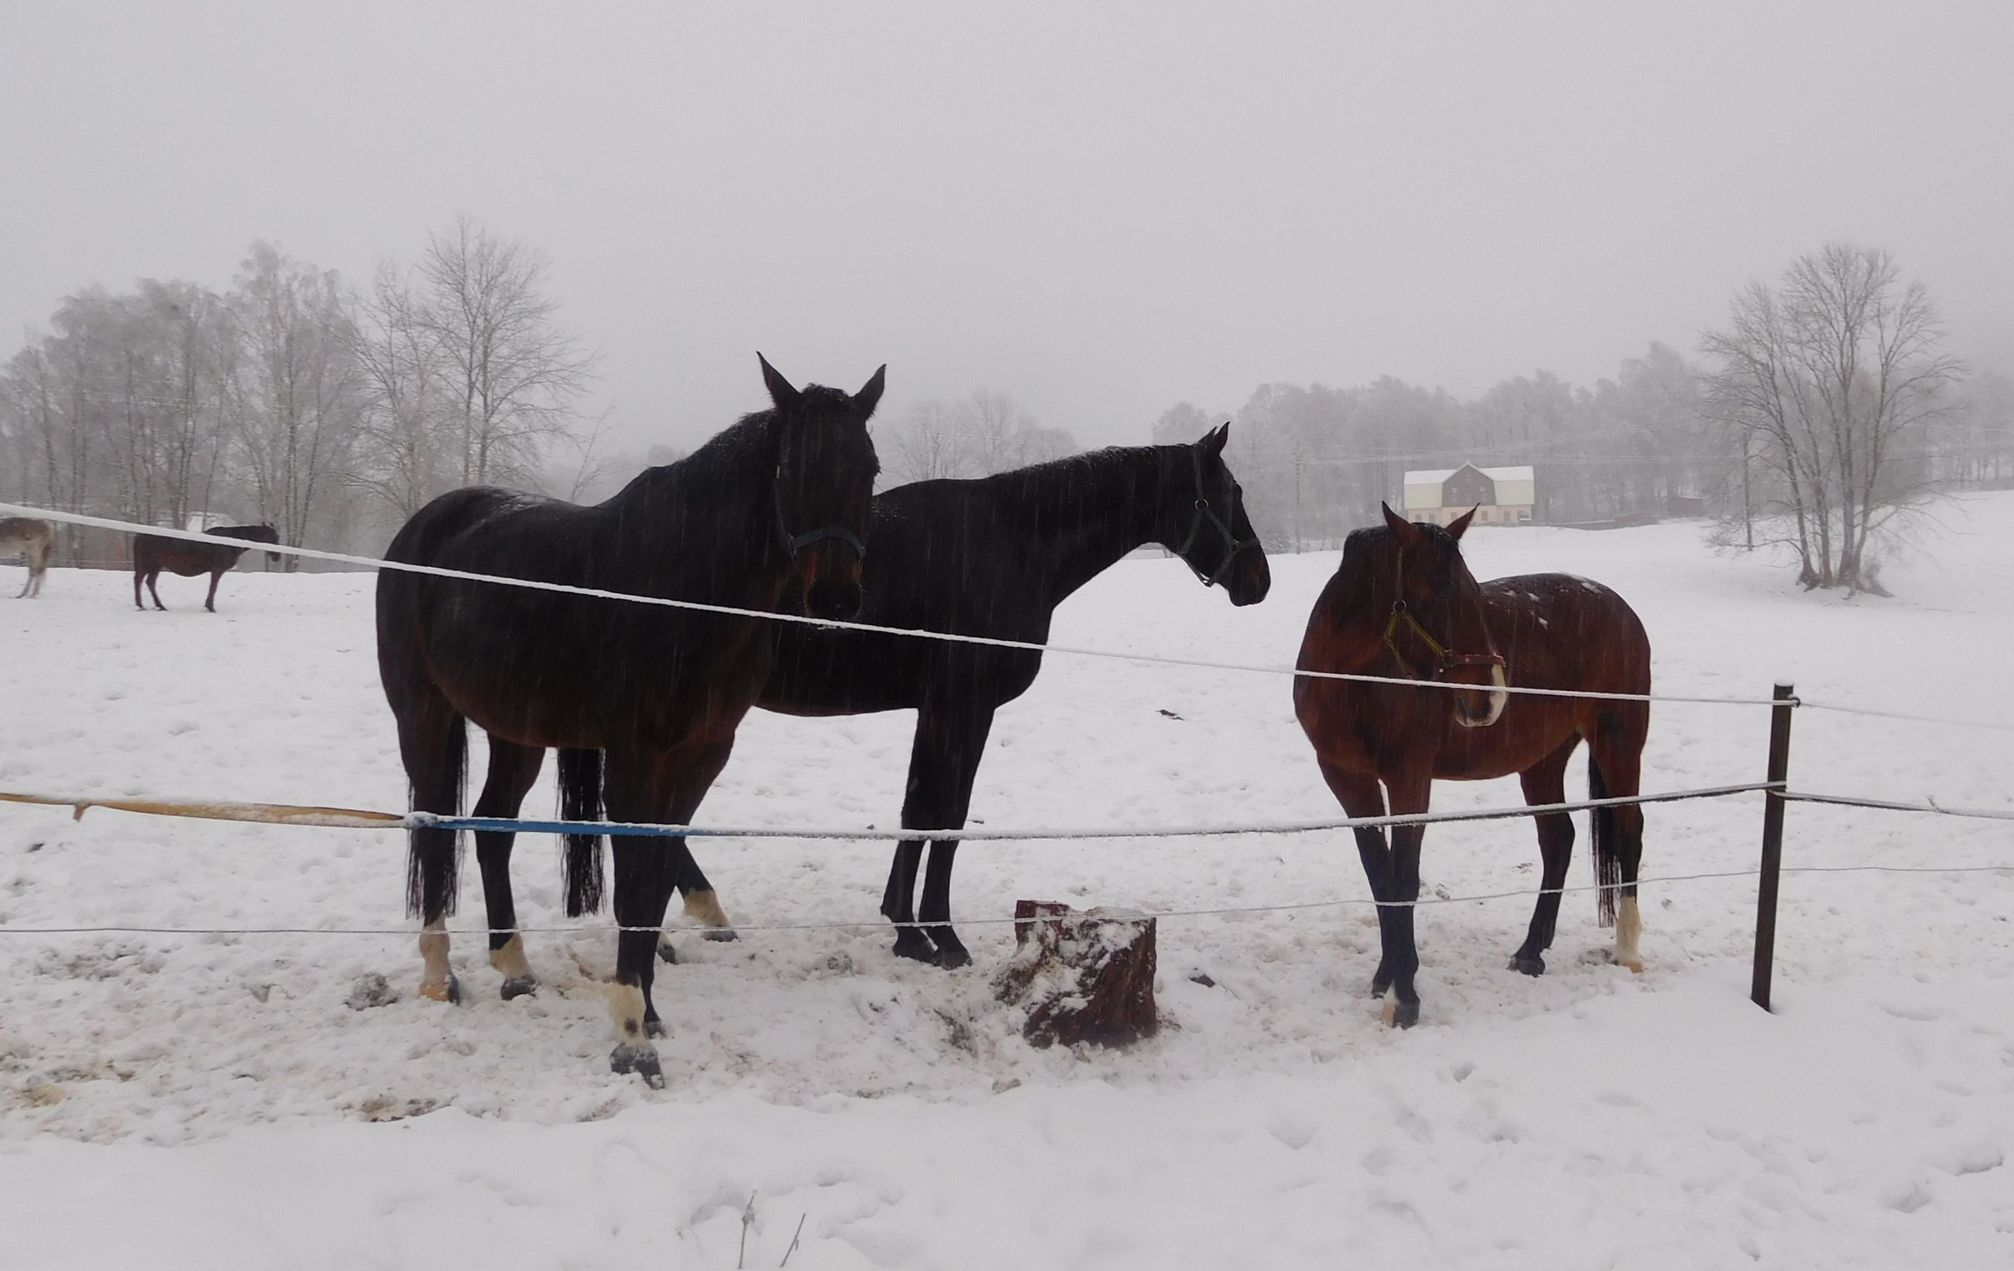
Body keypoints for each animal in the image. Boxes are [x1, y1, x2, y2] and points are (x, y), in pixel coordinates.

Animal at [133, 523, 283, 612]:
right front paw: (210, 607)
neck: (230, 541)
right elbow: (213, 587)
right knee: (140, 580)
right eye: (274, 537)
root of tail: (140, 535)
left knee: (149, 582)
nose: (277, 556)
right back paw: (142, 605)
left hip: (155, 565)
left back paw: (159, 605)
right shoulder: (217, 570)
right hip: (149, 564)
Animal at [378, 356, 882, 1087]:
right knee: (434, 828)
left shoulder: (702, 755)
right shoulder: (637, 757)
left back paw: (514, 966)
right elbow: (634, 887)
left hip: (517, 733)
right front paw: (630, 1030)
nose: (838, 598)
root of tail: (422, 527)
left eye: (869, 467)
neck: (685, 589)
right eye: (790, 467)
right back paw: (440, 975)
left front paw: (648, 1010)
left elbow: (656, 877)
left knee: (492, 828)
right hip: (423, 716)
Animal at [716, 422, 1264, 970]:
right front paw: (935, 935)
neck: (1009, 545)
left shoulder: (938, 710)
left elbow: (922, 810)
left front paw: (905, 924)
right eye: (1232, 491)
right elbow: (943, 814)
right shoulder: (964, 708)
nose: (1260, 580)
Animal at [1288, 501, 1651, 1031]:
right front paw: (1387, 975)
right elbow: (1380, 878)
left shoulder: (1409, 780)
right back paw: (1531, 952)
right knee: (1558, 839)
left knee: (1629, 830)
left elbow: (1403, 879)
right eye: (1441, 590)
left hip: (1618, 743)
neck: (1357, 680)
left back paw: (1626, 949)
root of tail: (1619, 606)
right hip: (1541, 762)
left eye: (1473, 591)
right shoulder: (1348, 782)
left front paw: (1403, 996)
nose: (1491, 697)